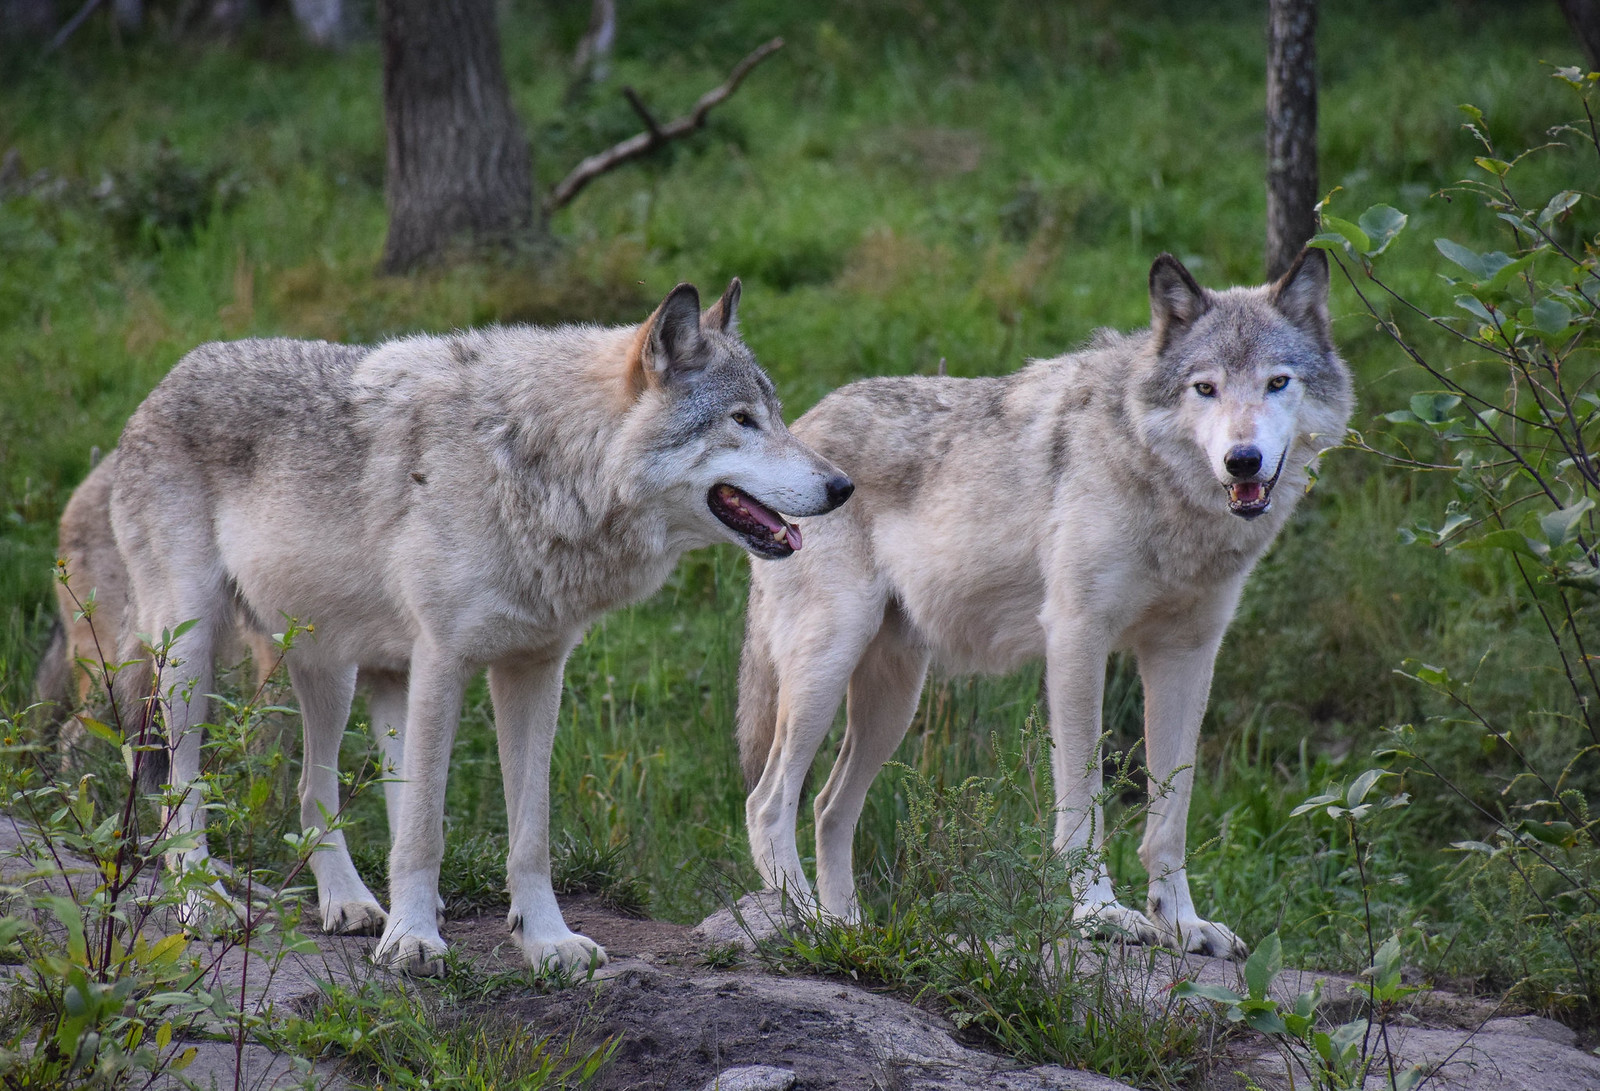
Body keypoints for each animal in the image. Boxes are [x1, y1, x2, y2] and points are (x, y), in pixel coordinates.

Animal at [109, 279, 853, 974]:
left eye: (777, 416)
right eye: (742, 420)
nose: (844, 486)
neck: (541, 467)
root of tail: (170, 376)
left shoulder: (536, 669)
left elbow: (528, 834)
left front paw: (546, 941)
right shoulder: (443, 661)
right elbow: (423, 831)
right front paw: (412, 942)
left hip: (342, 672)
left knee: (312, 790)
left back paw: (349, 902)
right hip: (193, 657)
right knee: (179, 785)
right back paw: (203, 904)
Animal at [737, 249, 1351, 959]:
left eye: (1277, 383)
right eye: (1205, 389)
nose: (1242, 459)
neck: (1165, 499)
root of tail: (798, 430)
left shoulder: (1187, 652)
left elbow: (1171, 813)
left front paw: (1181, 924)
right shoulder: (1078, 638)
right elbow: (1085, 798)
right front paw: (1099, 913)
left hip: (894, 702)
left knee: (828, 808)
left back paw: (850, 933)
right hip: (827, 668)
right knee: (768, 802)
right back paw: (809, 922)